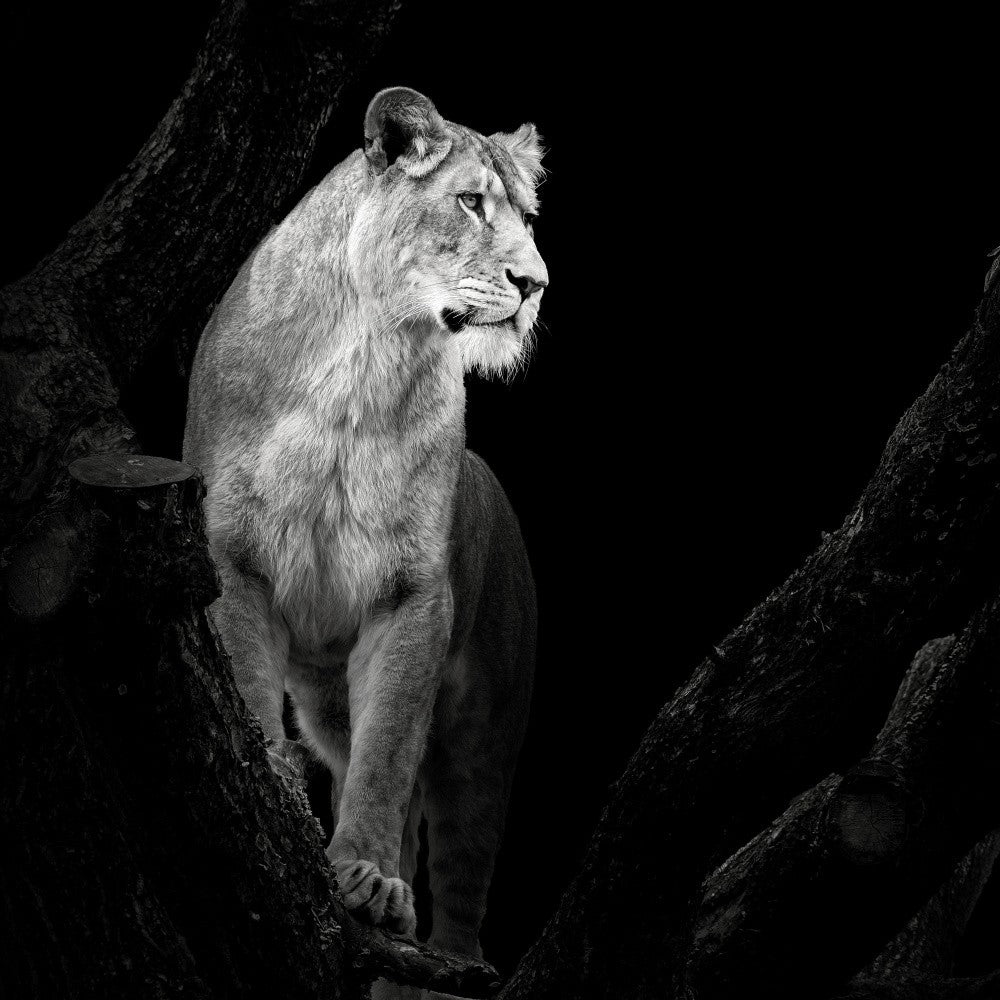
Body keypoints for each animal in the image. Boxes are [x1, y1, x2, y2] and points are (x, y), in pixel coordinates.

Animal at [183, 86, 547, 988]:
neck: (367, 356)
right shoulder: (232, 556)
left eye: (527, 216)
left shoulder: (413, 595)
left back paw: (440, 961)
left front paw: (371, 878)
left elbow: (388, 754)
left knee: (461, 874)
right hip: (325, 698)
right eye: (469, 202)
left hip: (490, 727)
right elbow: (250, 691)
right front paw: (279, 794)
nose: (536, 284)